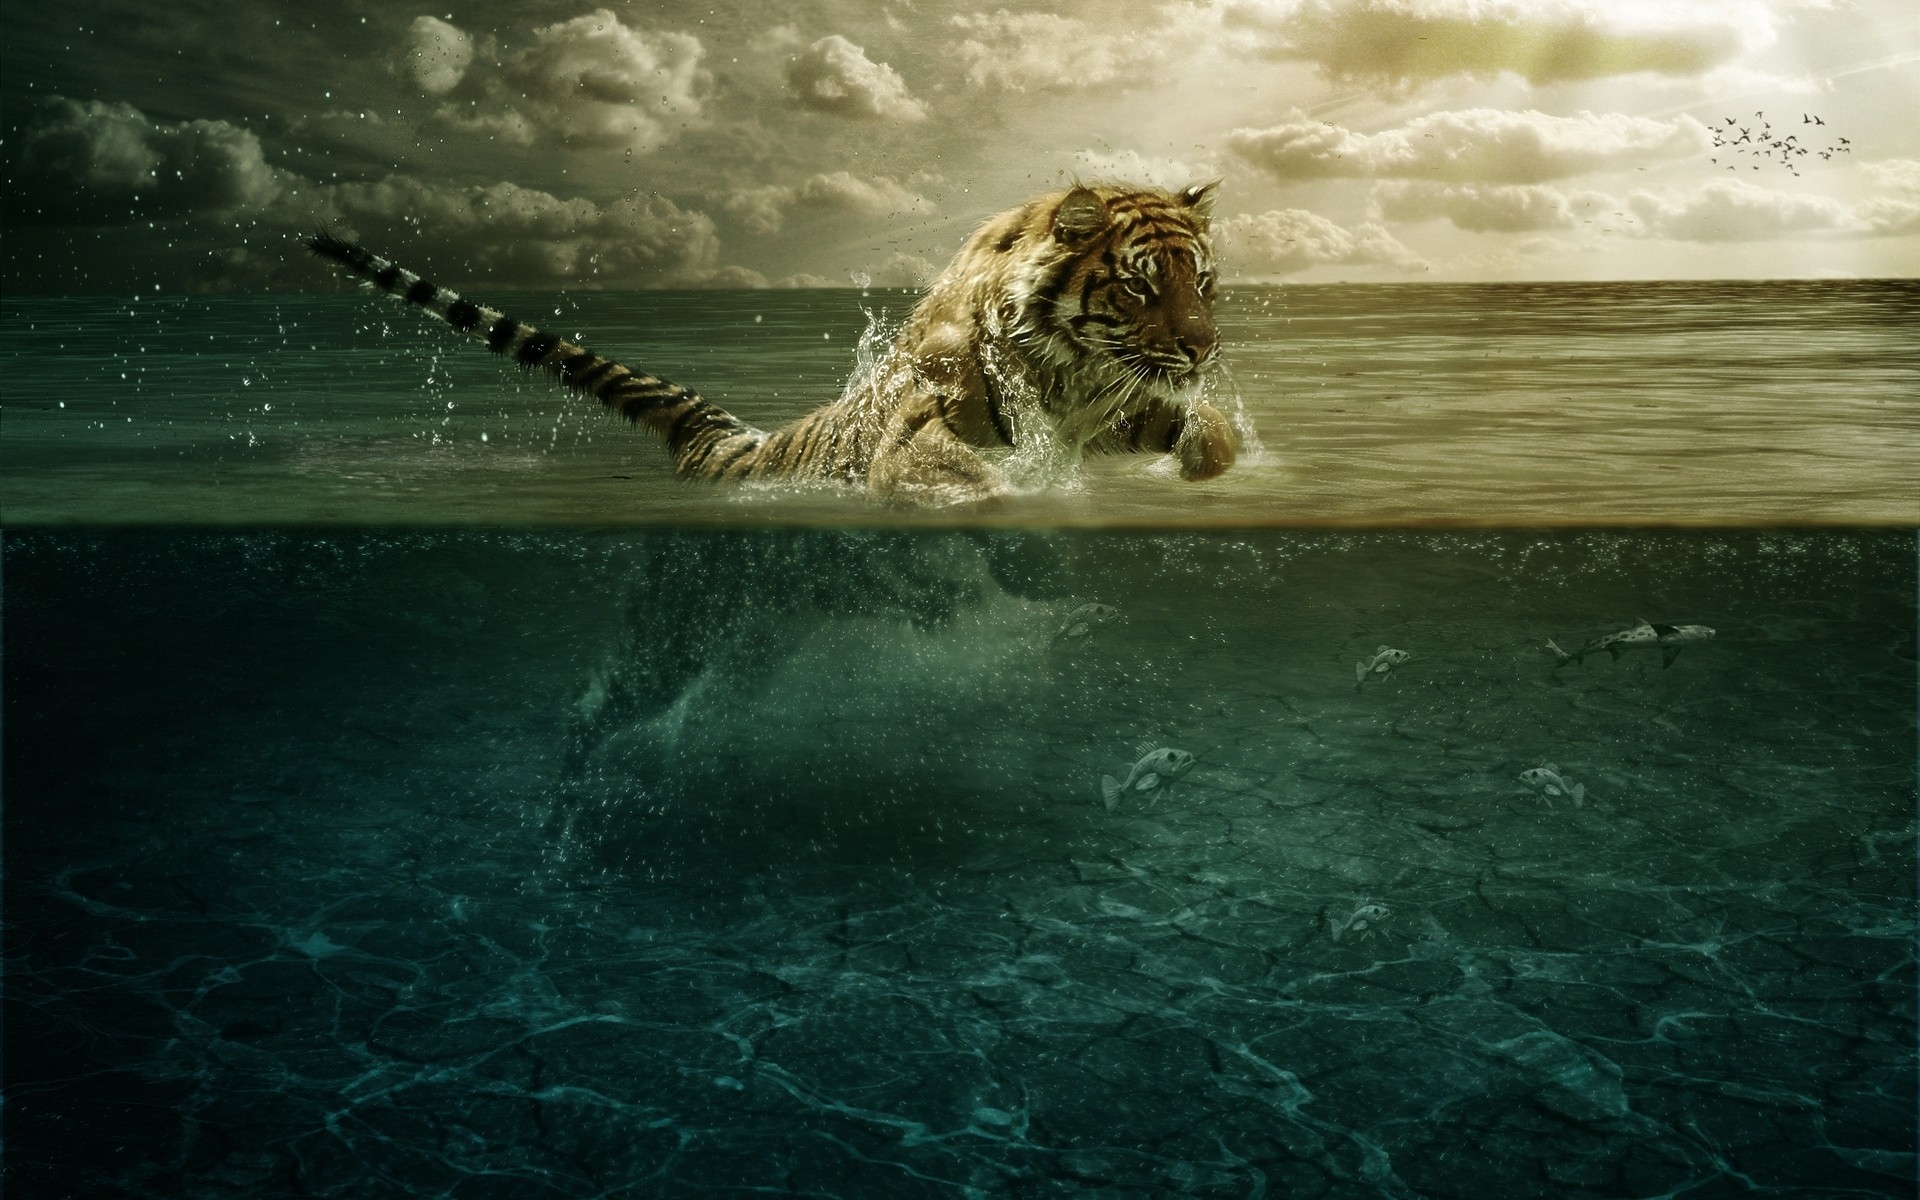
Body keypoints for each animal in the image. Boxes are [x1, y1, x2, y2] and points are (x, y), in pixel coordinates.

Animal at [307, 181, 1238, 504]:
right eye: (1138, 286)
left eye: (1202, 282)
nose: (1201, 350)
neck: (1072, 376)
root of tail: (728, 442)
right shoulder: (922, 429)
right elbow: (967, 478)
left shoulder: (1118, 408)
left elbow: (1207, 434)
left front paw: (1208, 463)